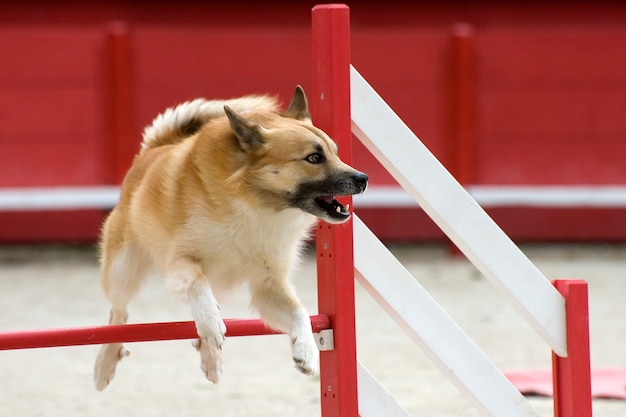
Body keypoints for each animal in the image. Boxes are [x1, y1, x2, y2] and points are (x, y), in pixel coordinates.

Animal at [92, 86, 366, 388]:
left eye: (335, 153)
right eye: (314, 158)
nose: (363, 179)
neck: (256, 204)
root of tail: (152, 150)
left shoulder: (268, 285)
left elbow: (300, 312)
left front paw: (306, 350)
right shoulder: (179, 261)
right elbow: (198, 285)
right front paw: (211, 324)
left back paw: (210, 357)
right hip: (122, 270)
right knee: (118, 313)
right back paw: (106, 362)